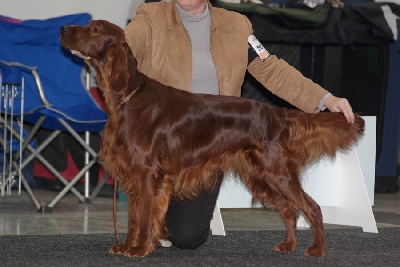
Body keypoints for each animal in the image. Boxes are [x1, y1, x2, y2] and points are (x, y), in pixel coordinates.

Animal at [60, 20, 366, 260]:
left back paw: (318, 249)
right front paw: (126, 246)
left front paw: (139, 249)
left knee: (311, 207)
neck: (128, 97)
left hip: (276, 172)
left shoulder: (146, 173)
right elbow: (134, 217)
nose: (63, 29)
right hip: (262, 175)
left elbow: (145, 215)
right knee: (290, 209)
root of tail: (278, 113)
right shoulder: (132, 173)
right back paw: (289, 244)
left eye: (95, 29)